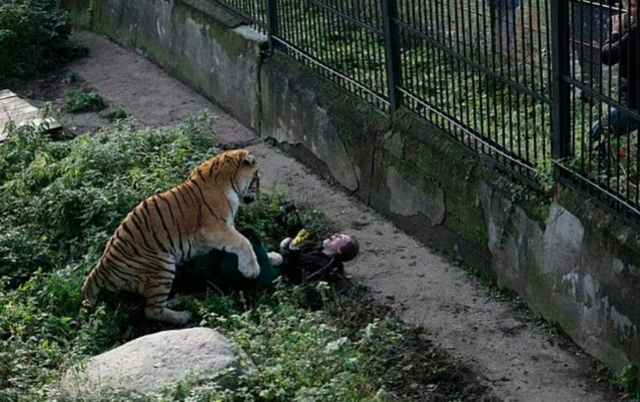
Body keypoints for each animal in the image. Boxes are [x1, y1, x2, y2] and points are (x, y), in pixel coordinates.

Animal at [83, 149, 262, 326]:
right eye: (257, 178)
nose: (259, 196)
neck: (229, 179)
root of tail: (102, 266)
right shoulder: (212, 229)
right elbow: (243, 241)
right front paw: (251, 269)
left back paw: (175, 301)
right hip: (162, 268)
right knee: (151, 310)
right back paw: (183, 316)